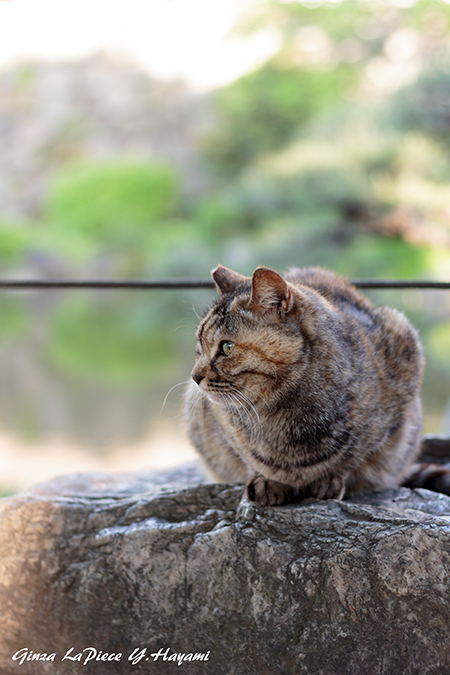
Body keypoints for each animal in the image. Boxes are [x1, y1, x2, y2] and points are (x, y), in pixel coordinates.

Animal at [185, 264, 442, 508]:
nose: (194, 376)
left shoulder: (405, 348)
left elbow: (354, 454)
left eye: (226, 347)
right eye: (199, 346)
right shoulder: (217, 419)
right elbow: (247, 455)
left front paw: (329, 480)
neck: (282, 414)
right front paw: (265, 480)